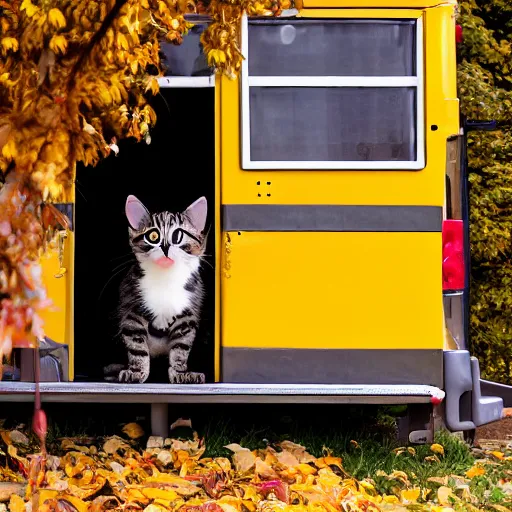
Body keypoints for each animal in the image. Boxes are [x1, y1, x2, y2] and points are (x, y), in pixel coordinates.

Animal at [104, 195, 208, 384]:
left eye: (178, 236)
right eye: (153, 236)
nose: (165, 247)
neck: (165, 278)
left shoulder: (187, 315)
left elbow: (181, 348)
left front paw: (180, 373)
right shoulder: (131, 309)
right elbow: (137, 346)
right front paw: (136, 372)